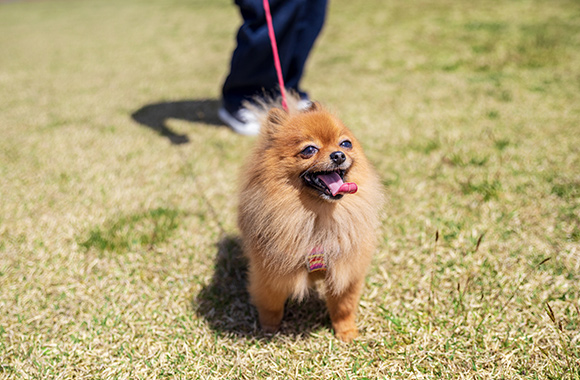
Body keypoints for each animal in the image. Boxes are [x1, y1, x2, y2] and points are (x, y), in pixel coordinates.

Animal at [238, 98, 382, 342]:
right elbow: (270, 305)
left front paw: (346, 332)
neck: (318, 217)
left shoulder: (346, 270)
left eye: (345, 144)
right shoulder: (269, 274)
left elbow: (343, 306)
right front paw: (269, 329)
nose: (338, 155)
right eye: (309, 149)